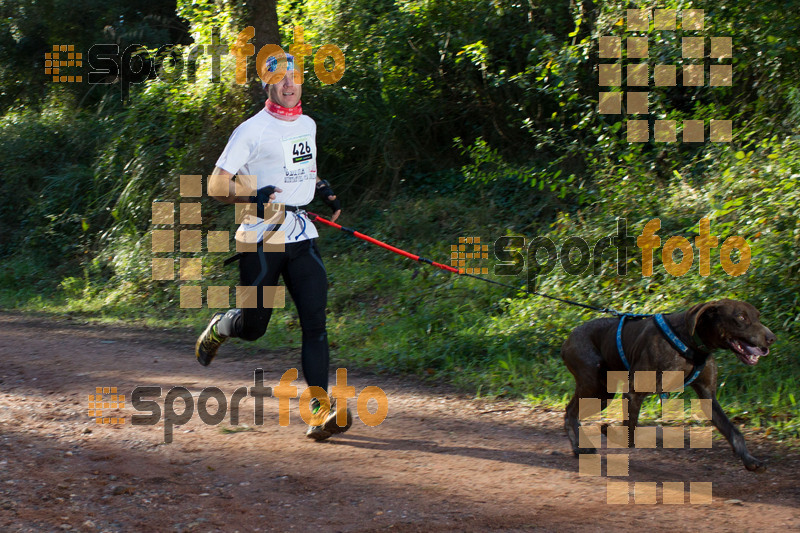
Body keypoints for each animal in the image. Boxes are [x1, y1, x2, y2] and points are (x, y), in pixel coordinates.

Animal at [564, 300, 776, 470]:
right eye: (741, 317)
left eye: (757, 317)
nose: (772, 338)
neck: (690, 343)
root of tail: (569, 336)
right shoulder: (633, 393)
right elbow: (631, 435)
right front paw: (613, 433)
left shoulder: (708, 396)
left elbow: (734, 432)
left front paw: (750, 460)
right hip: (596, 386)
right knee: (571, 411)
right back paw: (578, 447)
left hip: (602, 393)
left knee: (570, 412)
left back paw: (578, 447)